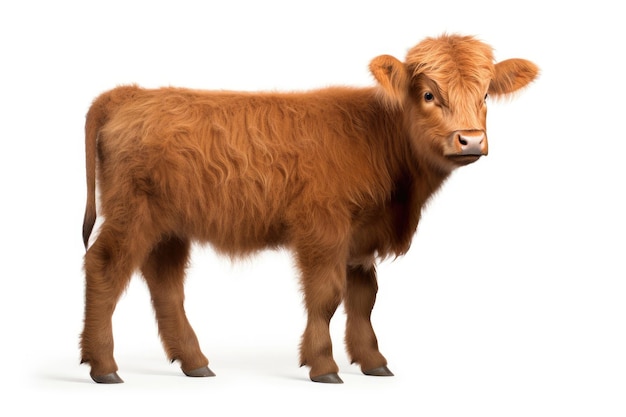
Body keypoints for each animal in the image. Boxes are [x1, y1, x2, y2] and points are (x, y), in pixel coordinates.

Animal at [79, 34, 536, 382]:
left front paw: (372, 361)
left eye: (484, 94)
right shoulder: (323, 229)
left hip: (169, 226)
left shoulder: (360, 239)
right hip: (131, 214)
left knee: (165, 284)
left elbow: (364, 298)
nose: (470, 139)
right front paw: (323, 365)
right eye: (428, 94)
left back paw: (194, 362)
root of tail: (132, 93)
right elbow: (327, 296)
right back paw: (103, 365)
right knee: (105, 267)